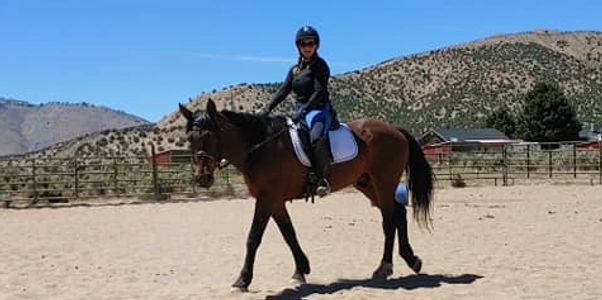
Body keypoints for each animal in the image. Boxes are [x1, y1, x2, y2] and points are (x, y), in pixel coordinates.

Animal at [178, 100, 432, 290]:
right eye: (190, 138)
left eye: (210, 136)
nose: (203, 178)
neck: (262, 146)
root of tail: (395, 130)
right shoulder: (275, 201)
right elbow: (289, 234)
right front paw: (301, 269)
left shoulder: (267, 198)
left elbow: (253, 237)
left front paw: (243, 279)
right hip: (368, 184)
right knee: (397, 213)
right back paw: (412, 260)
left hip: (383, 181)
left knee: (389, 220)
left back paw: (384, 268)